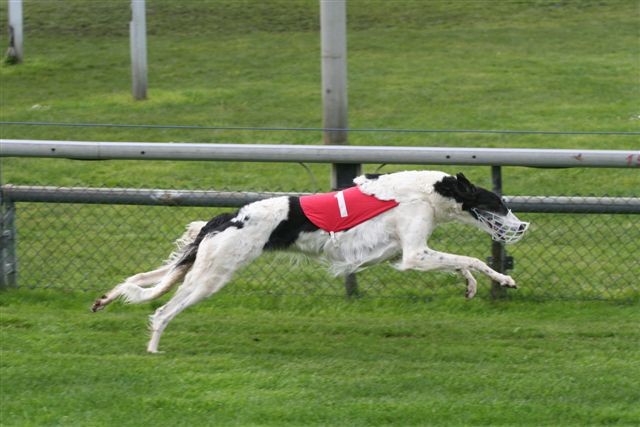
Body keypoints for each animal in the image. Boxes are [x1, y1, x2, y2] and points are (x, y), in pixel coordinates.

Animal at [92, 170, 529, 353]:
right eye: (498, 203)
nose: (523, 225)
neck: (428, 191)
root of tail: (227, 217)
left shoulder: (406, 254)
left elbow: (461, 263)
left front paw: (473, 286)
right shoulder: (413, 253)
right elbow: (470, 257)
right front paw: (502, 280)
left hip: (203, 266)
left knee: (144, 280)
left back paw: (106, 300)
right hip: (212, 276)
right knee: (163, 310)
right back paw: (153, 349)